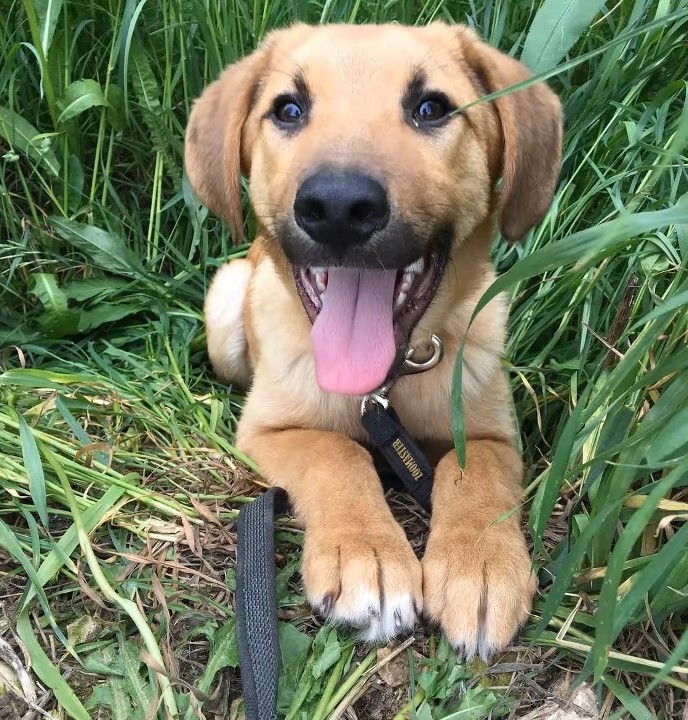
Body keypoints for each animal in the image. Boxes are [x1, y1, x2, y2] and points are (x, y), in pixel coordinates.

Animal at [185, 19, 560, 660]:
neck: (384, 388)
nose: (337, 207)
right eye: (288, 109)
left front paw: (480, 565)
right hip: (226, 304)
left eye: (431, 108)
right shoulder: (268, 432)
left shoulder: (496, 436)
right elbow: (338, 452)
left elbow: (474, 470)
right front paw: (367, 555)